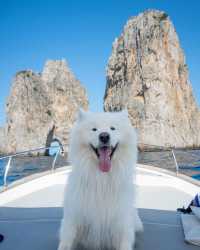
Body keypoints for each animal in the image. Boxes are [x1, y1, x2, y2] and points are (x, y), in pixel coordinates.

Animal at [57, 109, 142, 250]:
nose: (104, 136)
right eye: (94, 129)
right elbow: (66, 240)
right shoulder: (74, 216)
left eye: (113, 128)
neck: (102, 178)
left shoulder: (122, 220)